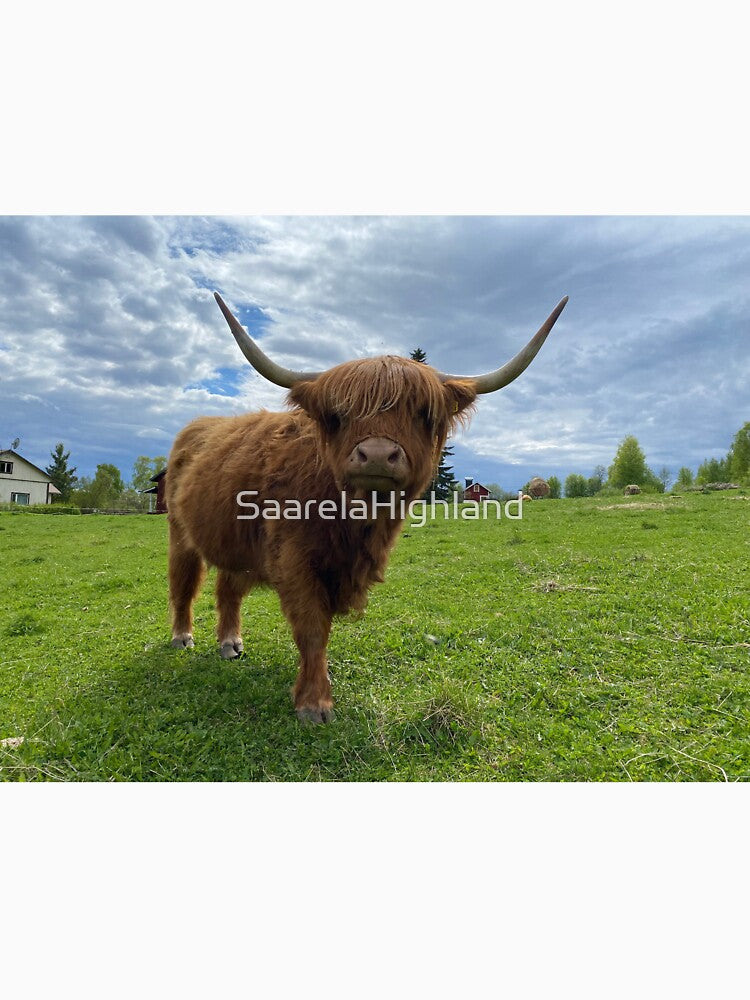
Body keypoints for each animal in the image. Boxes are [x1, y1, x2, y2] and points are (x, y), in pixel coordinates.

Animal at [166, 291, 568, 722]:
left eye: (421, 413)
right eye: (339, 414)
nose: (376, 455)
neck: (354, 521)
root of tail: (198, 425)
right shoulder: (293, 558)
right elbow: (312, 627)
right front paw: (314, 703)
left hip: (237, 542)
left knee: (228, 587)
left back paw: (229, 643)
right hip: (179, 533)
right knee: (184, 582)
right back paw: (182, 636)